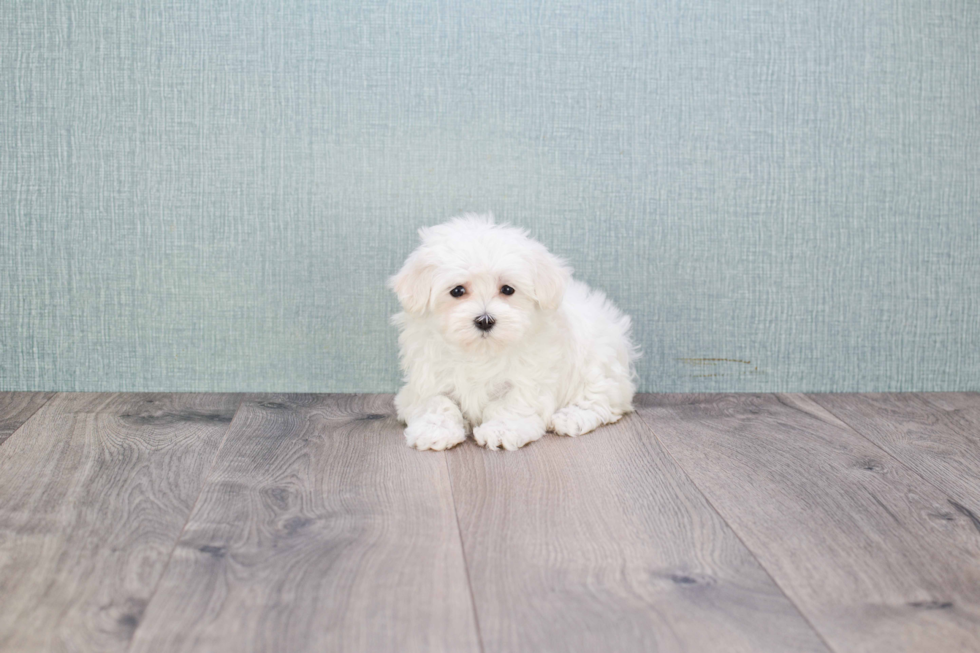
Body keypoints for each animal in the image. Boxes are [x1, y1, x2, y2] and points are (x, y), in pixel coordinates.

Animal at [386, 213, 640, 448]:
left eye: (507, 289)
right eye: (457, 291)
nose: (485, 320)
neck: (481, 352)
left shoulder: (530, 378)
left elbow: (510, 404)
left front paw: (500, 430)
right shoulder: (427, 379)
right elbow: (437, 402)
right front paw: (434, 429)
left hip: (598, 364)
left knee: (602, 399)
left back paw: (572, 417)